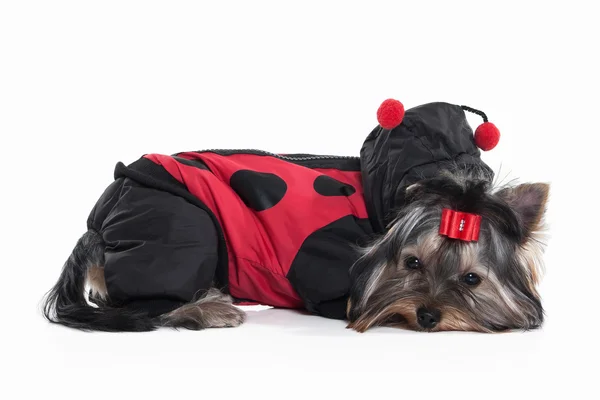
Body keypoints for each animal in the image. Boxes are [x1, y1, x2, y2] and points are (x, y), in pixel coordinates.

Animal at [41, 99, 548, 332]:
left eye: (471, 279)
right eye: (412, 263)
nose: (427, 315)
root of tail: (97, 220)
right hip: (182, 231)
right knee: (149, 305)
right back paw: (211, 308)